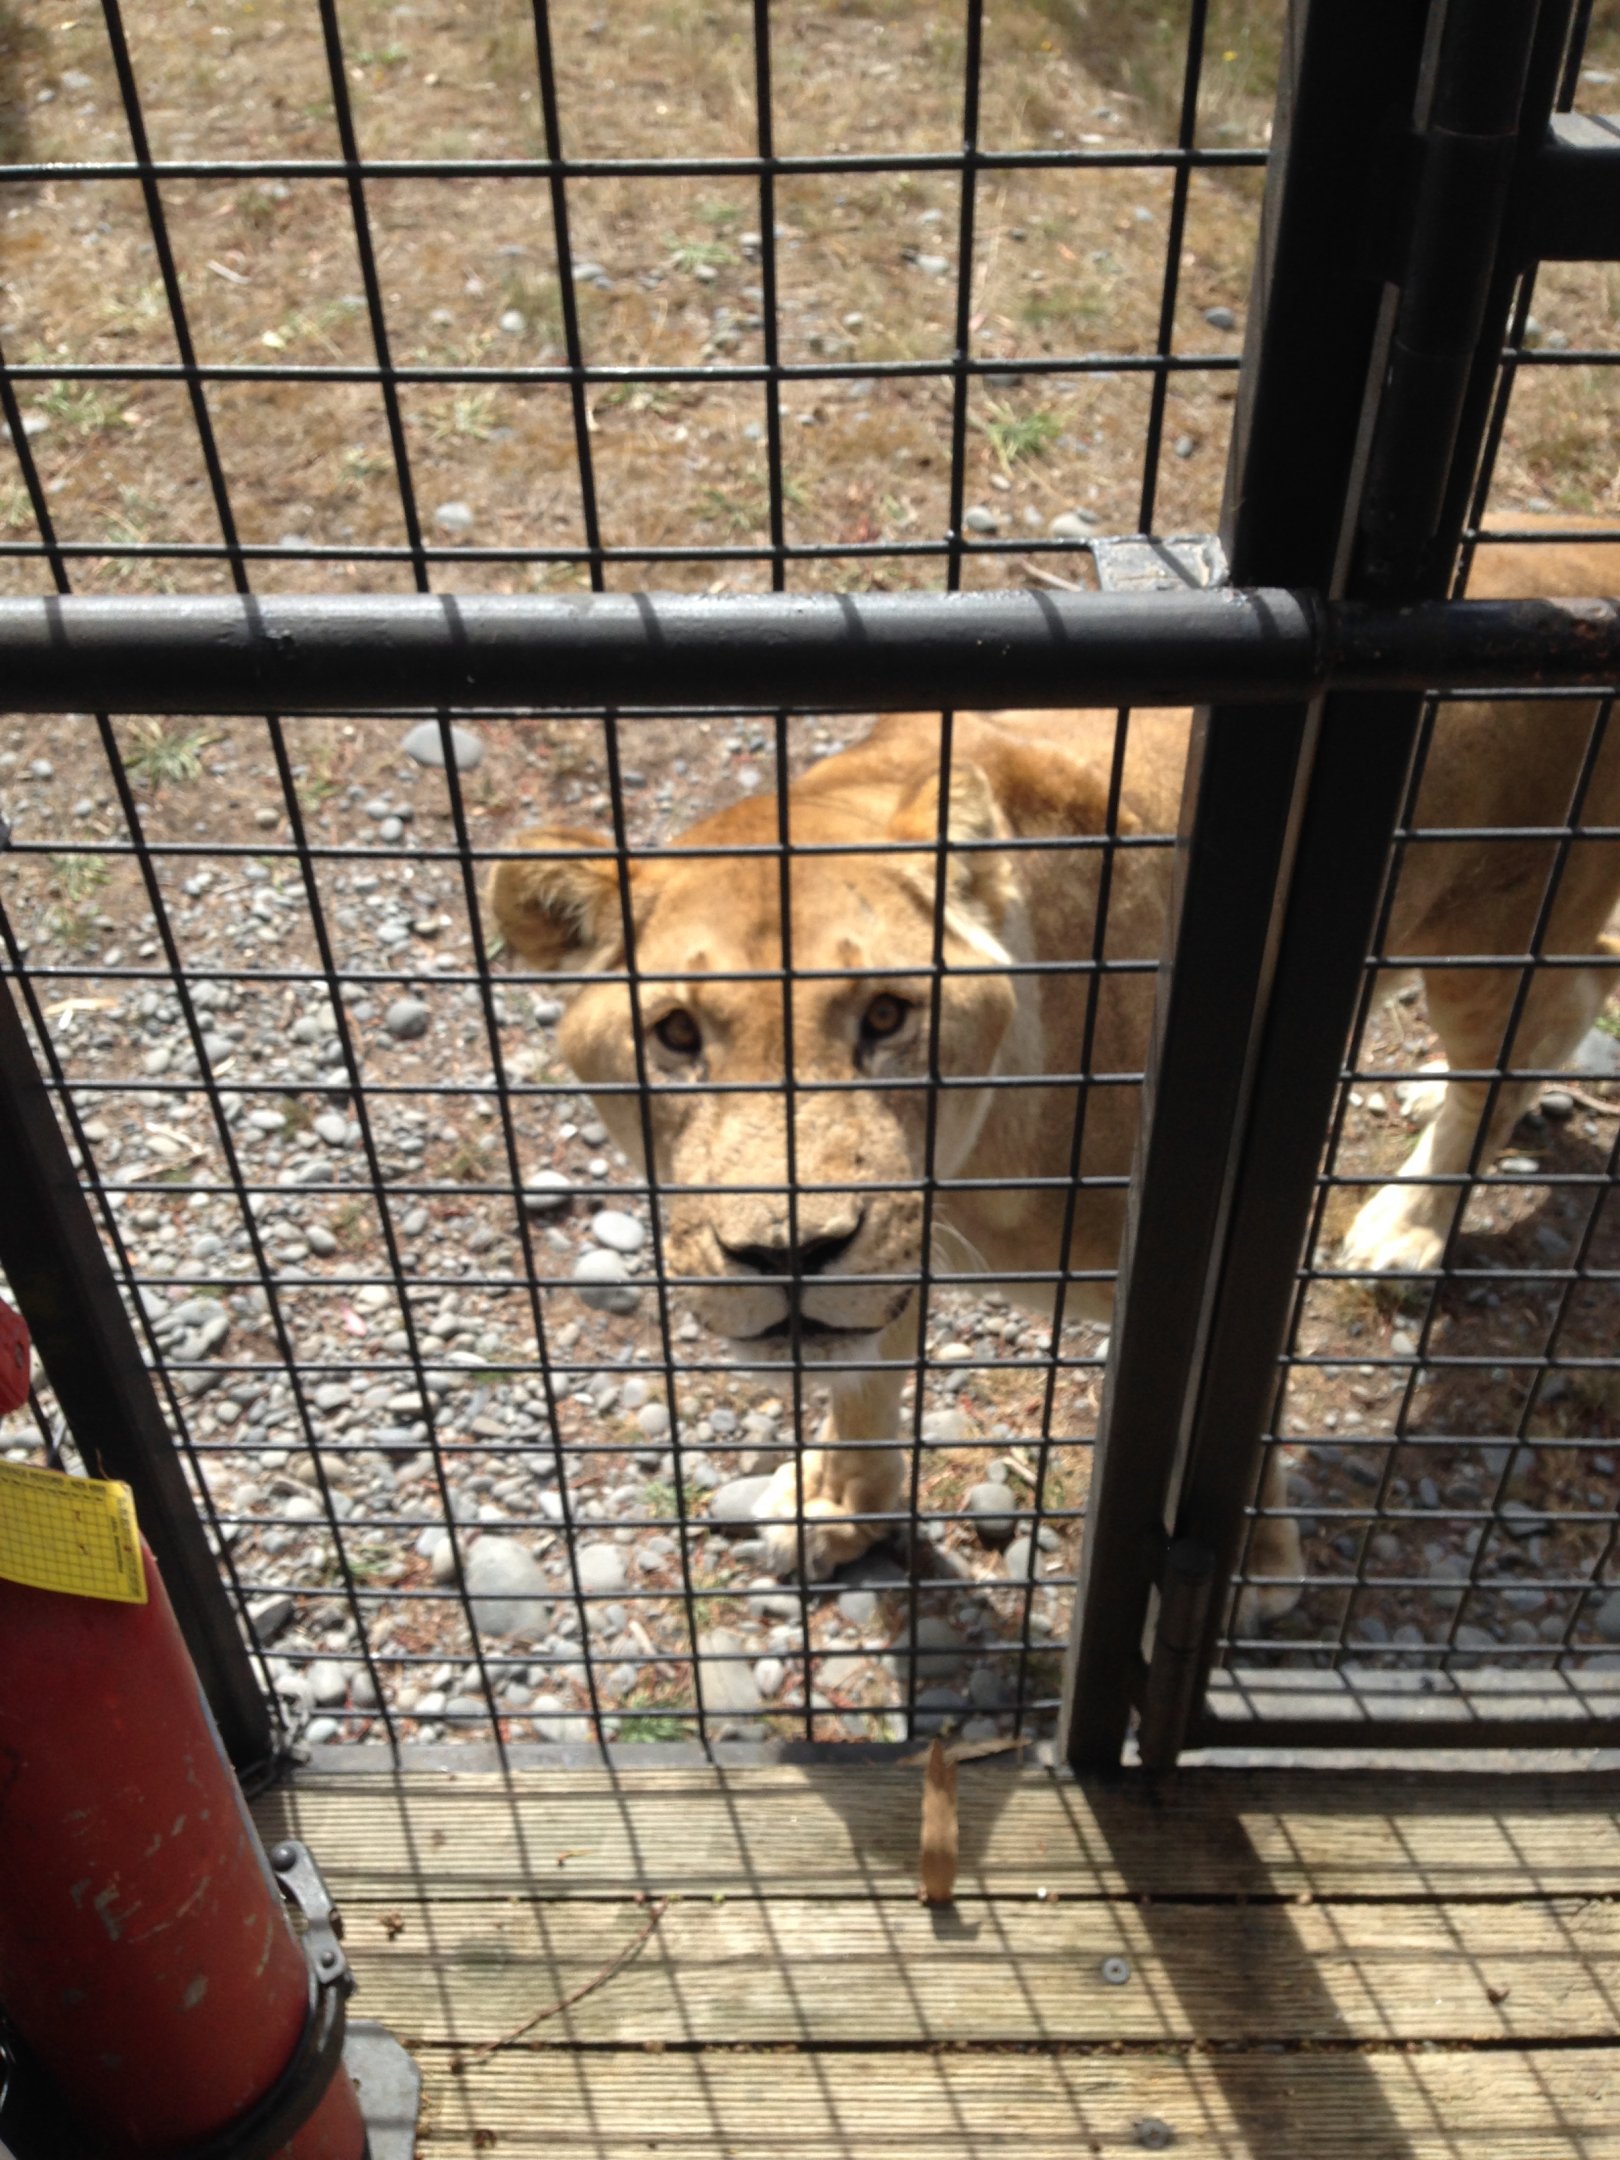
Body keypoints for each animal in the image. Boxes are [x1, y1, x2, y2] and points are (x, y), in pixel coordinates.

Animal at [489, 533, 1620, 1621]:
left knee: (1537, 1026)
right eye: (676, 1034)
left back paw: (1408, 1222)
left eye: (887, 1015)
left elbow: (1221, 1412)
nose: (787, 1255)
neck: (972, 1171)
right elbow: (861, 1375)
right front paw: (841, 1507)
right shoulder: (890, 1257)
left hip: (1492, 926)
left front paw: (1251, 1567)